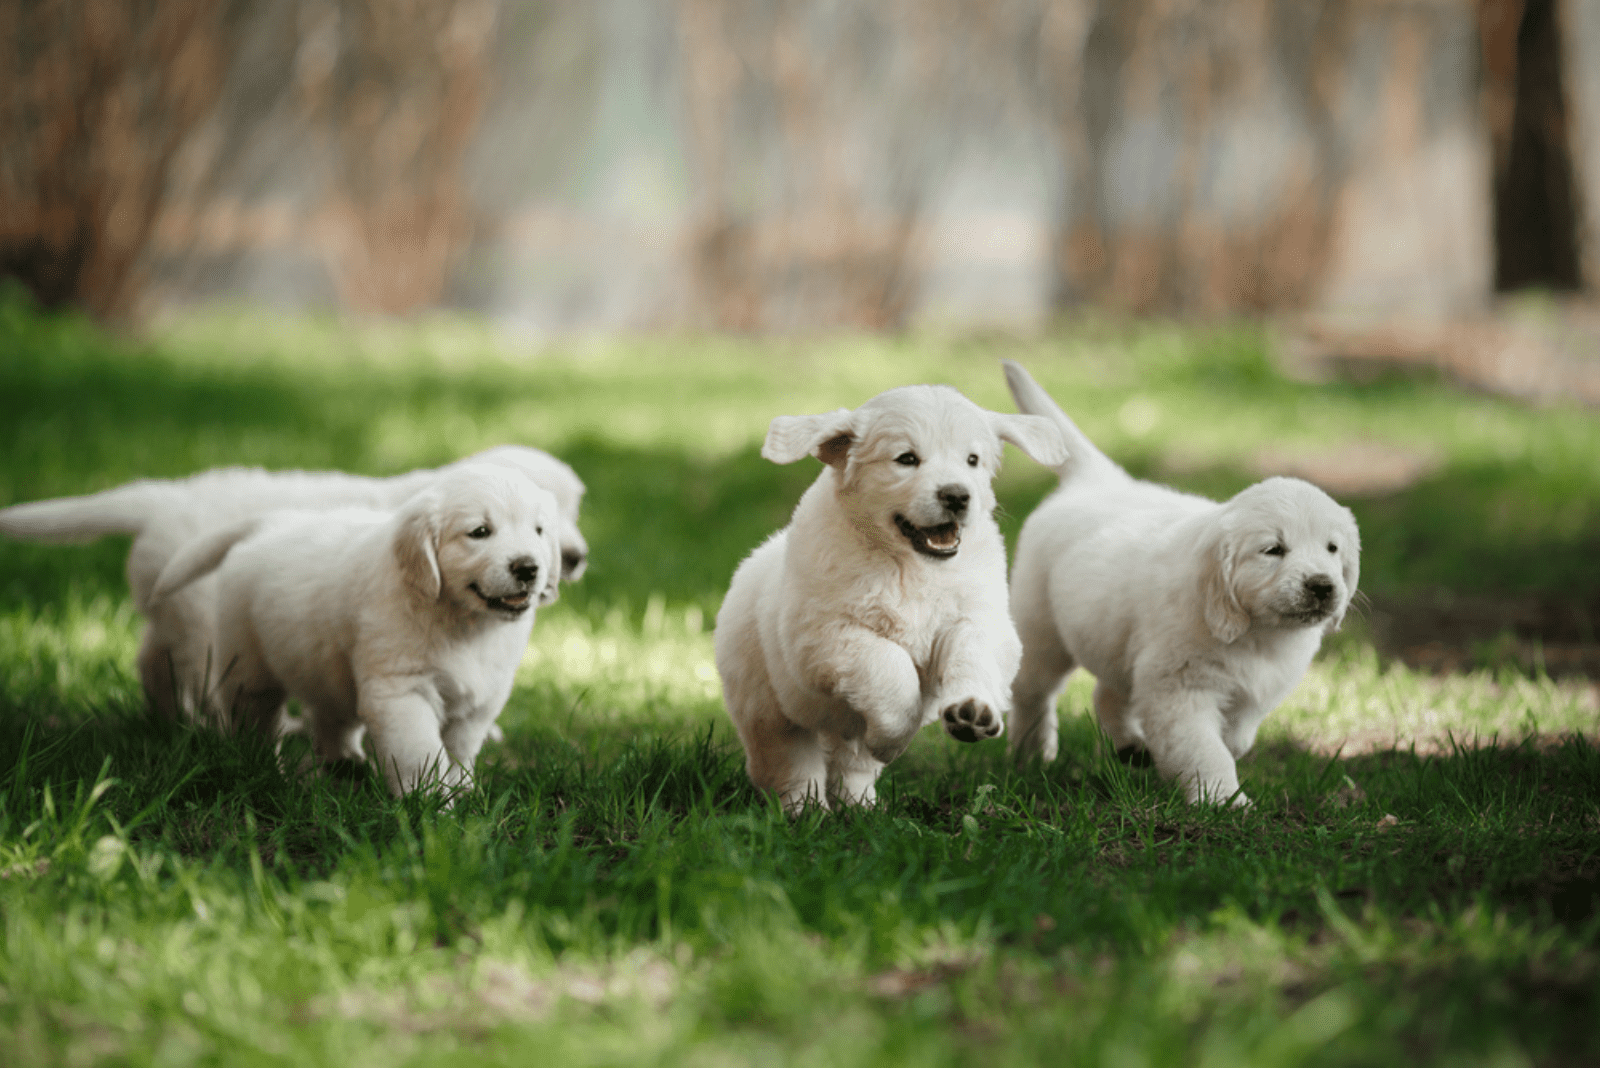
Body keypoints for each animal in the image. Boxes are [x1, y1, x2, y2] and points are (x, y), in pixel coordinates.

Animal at [0, 441, 588, 716]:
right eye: (485, 530)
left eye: (572, 510)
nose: (575, 558)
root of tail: (162, 499)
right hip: (203, 615)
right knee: (199, 672)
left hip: (172, 607)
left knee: (151, 658)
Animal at [148, 463, 563, 796]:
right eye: (479, 532)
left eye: (539, 531)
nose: (528, 568)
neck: (462, 622)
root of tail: (271, 523)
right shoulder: (401, 691)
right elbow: (421, 753)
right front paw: (430, 806)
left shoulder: (482, 699)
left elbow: (460, 750)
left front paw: (463, 792)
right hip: (247, 666)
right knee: (254, 720)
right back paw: (265, 768)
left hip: (325, 666)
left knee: (330, 717)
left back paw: (346, 764)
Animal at [716, 383, 1068, 808]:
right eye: (906, 459)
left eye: (972, 460)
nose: (957, 496)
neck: (909, 565)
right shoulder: (823, 636)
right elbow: (889, 666)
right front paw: (894, 738)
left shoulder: (977, 618)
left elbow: (973, 655)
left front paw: (973, 711)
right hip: (767, 707)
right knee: (789, 763)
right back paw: (807, 810)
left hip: (840, 732)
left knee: (851, 765)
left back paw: (861, 807)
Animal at [1004, 362, 1356, 805]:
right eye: (1273, 550)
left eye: (1332, 548)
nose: (1322, 586)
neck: (1256, 634)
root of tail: (1097, 481)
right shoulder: (1180, 688)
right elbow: (1204, 749)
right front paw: (1223, 801)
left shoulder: (1252, 692)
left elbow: (1236, 737)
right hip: (1042, 631)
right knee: (1032, 693)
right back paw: (1030, 755)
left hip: (1116, 638)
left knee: (1108, 693)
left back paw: (1129, 747)